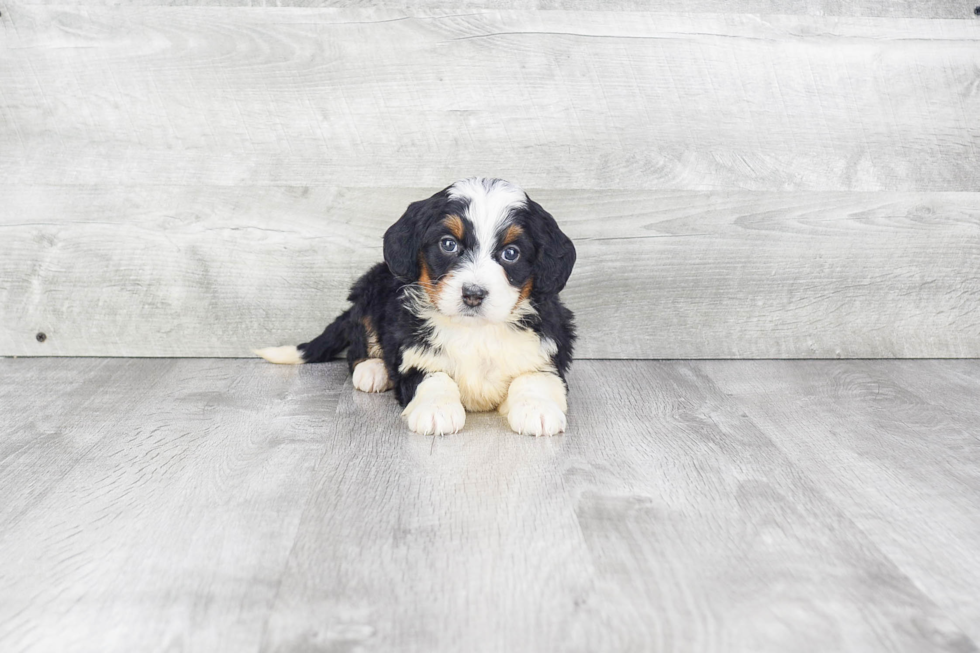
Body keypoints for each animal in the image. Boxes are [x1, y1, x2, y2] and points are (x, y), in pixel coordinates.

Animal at [255, 176, 576, 436]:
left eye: (511, 253)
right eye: (448, 244)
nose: (473, 294)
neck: (474, 330)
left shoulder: (546, 349)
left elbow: (535, 379)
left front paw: (537, 410)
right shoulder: (413, 353)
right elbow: (433, 378)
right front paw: (437, 410)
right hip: (371, 289)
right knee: (359, 343)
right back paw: (372, 369)